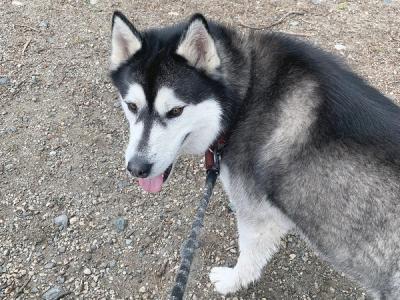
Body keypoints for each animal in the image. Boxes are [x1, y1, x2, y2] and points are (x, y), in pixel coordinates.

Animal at [109, 11, 400, 298]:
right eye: (131, 106)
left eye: (176, 111)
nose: (137, 168)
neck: (245, 94)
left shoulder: (256, 213)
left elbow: (249, 254)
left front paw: (232, 282)